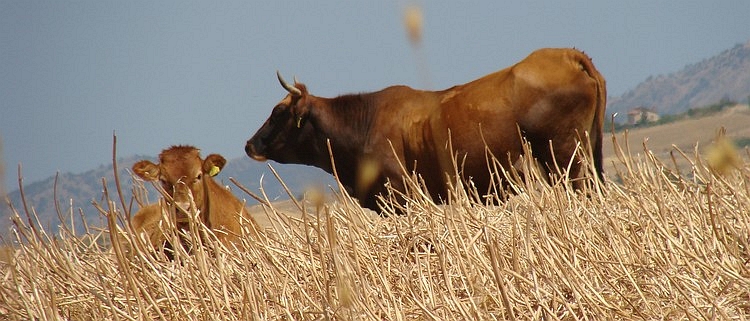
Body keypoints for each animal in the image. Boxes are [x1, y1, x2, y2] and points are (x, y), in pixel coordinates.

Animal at [244, 47, 608, 211]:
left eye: (278, 112)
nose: (249, 144)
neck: (363, 123)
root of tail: (563, 54)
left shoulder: (402, 195)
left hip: (566, 158)